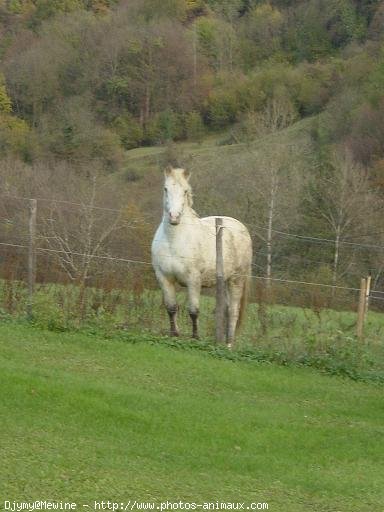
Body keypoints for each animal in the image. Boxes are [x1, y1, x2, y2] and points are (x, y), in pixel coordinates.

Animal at [152, 166, 254, 346]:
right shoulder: (163, 277)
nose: (174, 217)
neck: (174, 240)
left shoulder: (193, 279)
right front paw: (174, 335)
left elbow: (193, 310)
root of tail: (241, 228)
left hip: (236, 279)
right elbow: (171, 308)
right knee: (227, 309)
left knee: (233, 310)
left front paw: (195, 337)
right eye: (166, 189)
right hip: (224, 280)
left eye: (185, 191)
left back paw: (229, 344)